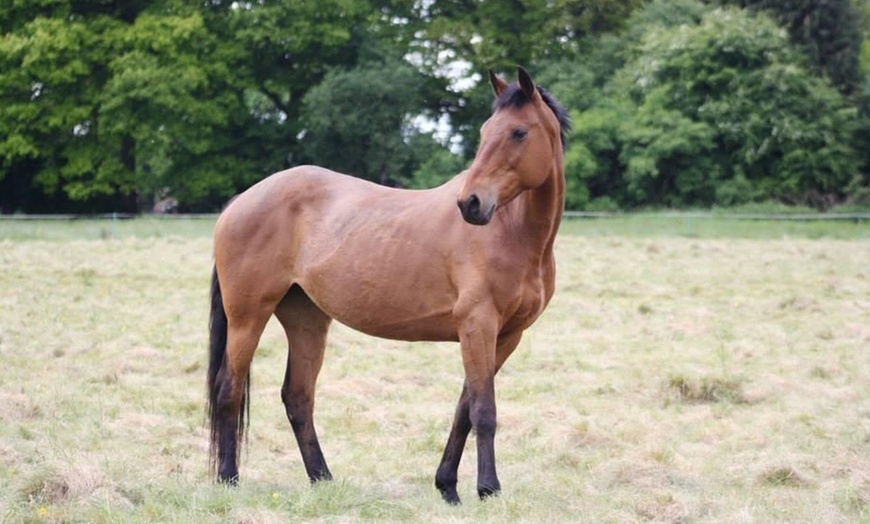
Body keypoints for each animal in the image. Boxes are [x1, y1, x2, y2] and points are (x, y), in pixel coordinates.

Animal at [206, 66, 572, 504]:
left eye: (518, 132)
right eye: (486, 132)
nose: (470, 203)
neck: (512, 231)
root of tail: (240, 201)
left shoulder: (506, 336)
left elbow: (464, 409)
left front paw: (448, 487)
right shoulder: (478, 326)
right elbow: (484, 411)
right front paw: (488, 489)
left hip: (305, 319)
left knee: (298, 396)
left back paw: (323, 479)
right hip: (248, 317)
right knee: (229, 389)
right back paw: (228, 479)